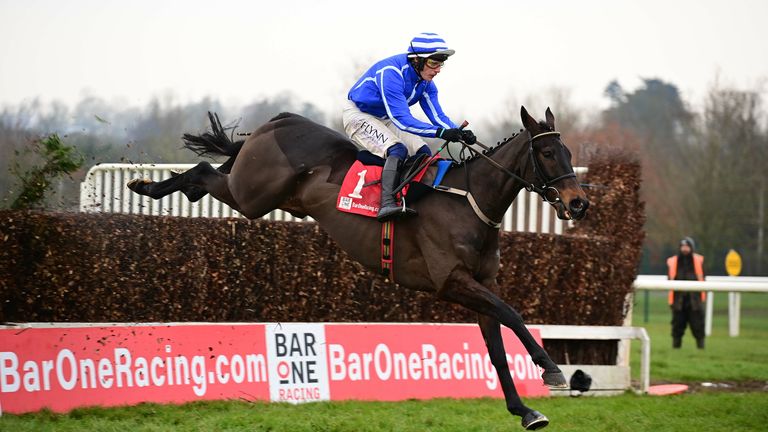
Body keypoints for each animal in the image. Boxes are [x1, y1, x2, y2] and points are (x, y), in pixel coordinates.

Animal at [129, 106, 592, 430]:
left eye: (569, 152)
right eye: (547, 152)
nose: (578, 204)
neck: (468, 201)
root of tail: (278, 120)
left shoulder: (479, 284)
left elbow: (496, 348)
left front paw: (525, 411)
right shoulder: (452, 281)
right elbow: (513, 315)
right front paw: (551, 369)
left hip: (264, 196)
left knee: (203, 178)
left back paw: (155, 186)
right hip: (251, 195)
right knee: (203, 171)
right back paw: (145, 185)